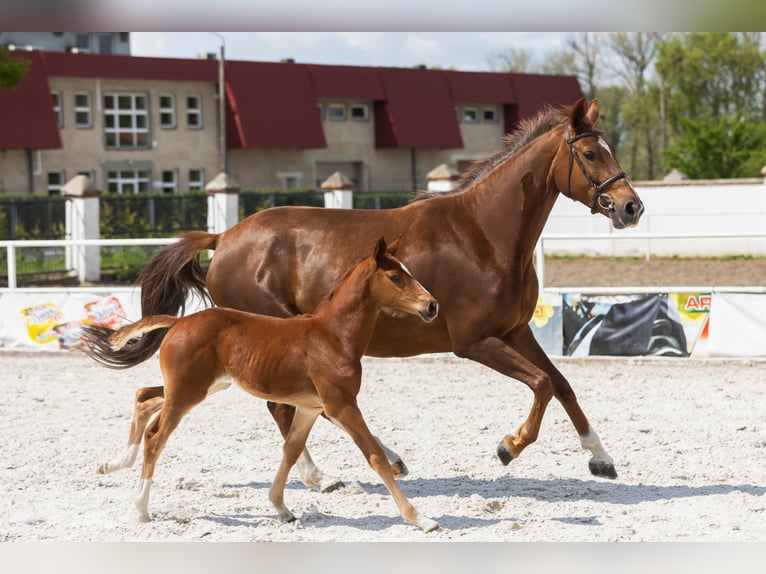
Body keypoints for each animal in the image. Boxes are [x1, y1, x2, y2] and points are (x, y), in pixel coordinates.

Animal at [81, 238, 440, 536]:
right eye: (395, 277)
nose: (432, 305)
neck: (334, 336)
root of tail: (180, 321)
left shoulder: (311, 406)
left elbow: (291, 450)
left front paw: (282, 508)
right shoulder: (341, 404)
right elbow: (374, 456)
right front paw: (421, 519)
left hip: (201, 387)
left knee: (144, 396)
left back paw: (112, 464)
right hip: (187, 393)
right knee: (155, 437)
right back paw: (141, 510)